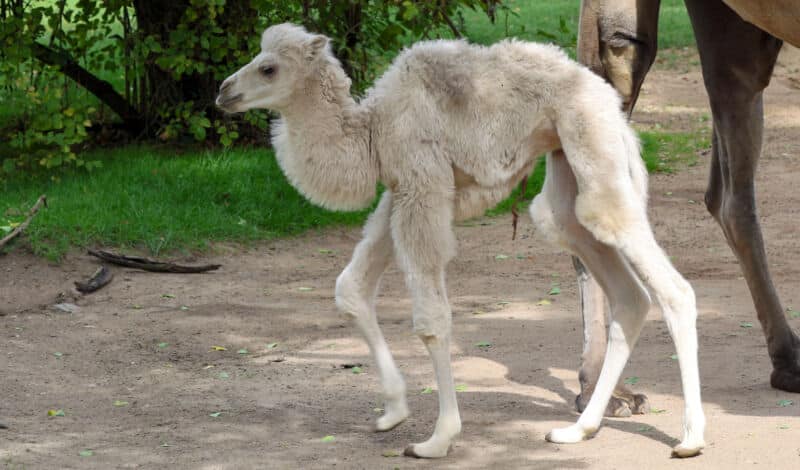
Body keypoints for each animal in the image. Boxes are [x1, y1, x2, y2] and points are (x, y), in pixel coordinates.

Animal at [216, 23, 704, 458]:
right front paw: (392, 411)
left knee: (670, 285)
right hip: (566, 169)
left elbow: (432, 321)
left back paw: (689, 439)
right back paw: (577, 430)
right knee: (620, 286)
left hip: (591, 142)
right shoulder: (400, 192)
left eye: (269, 68)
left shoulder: (422, 184)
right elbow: (350, 287)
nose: (223, 92)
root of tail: (612, 106)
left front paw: (437, 439)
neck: (372, 130)